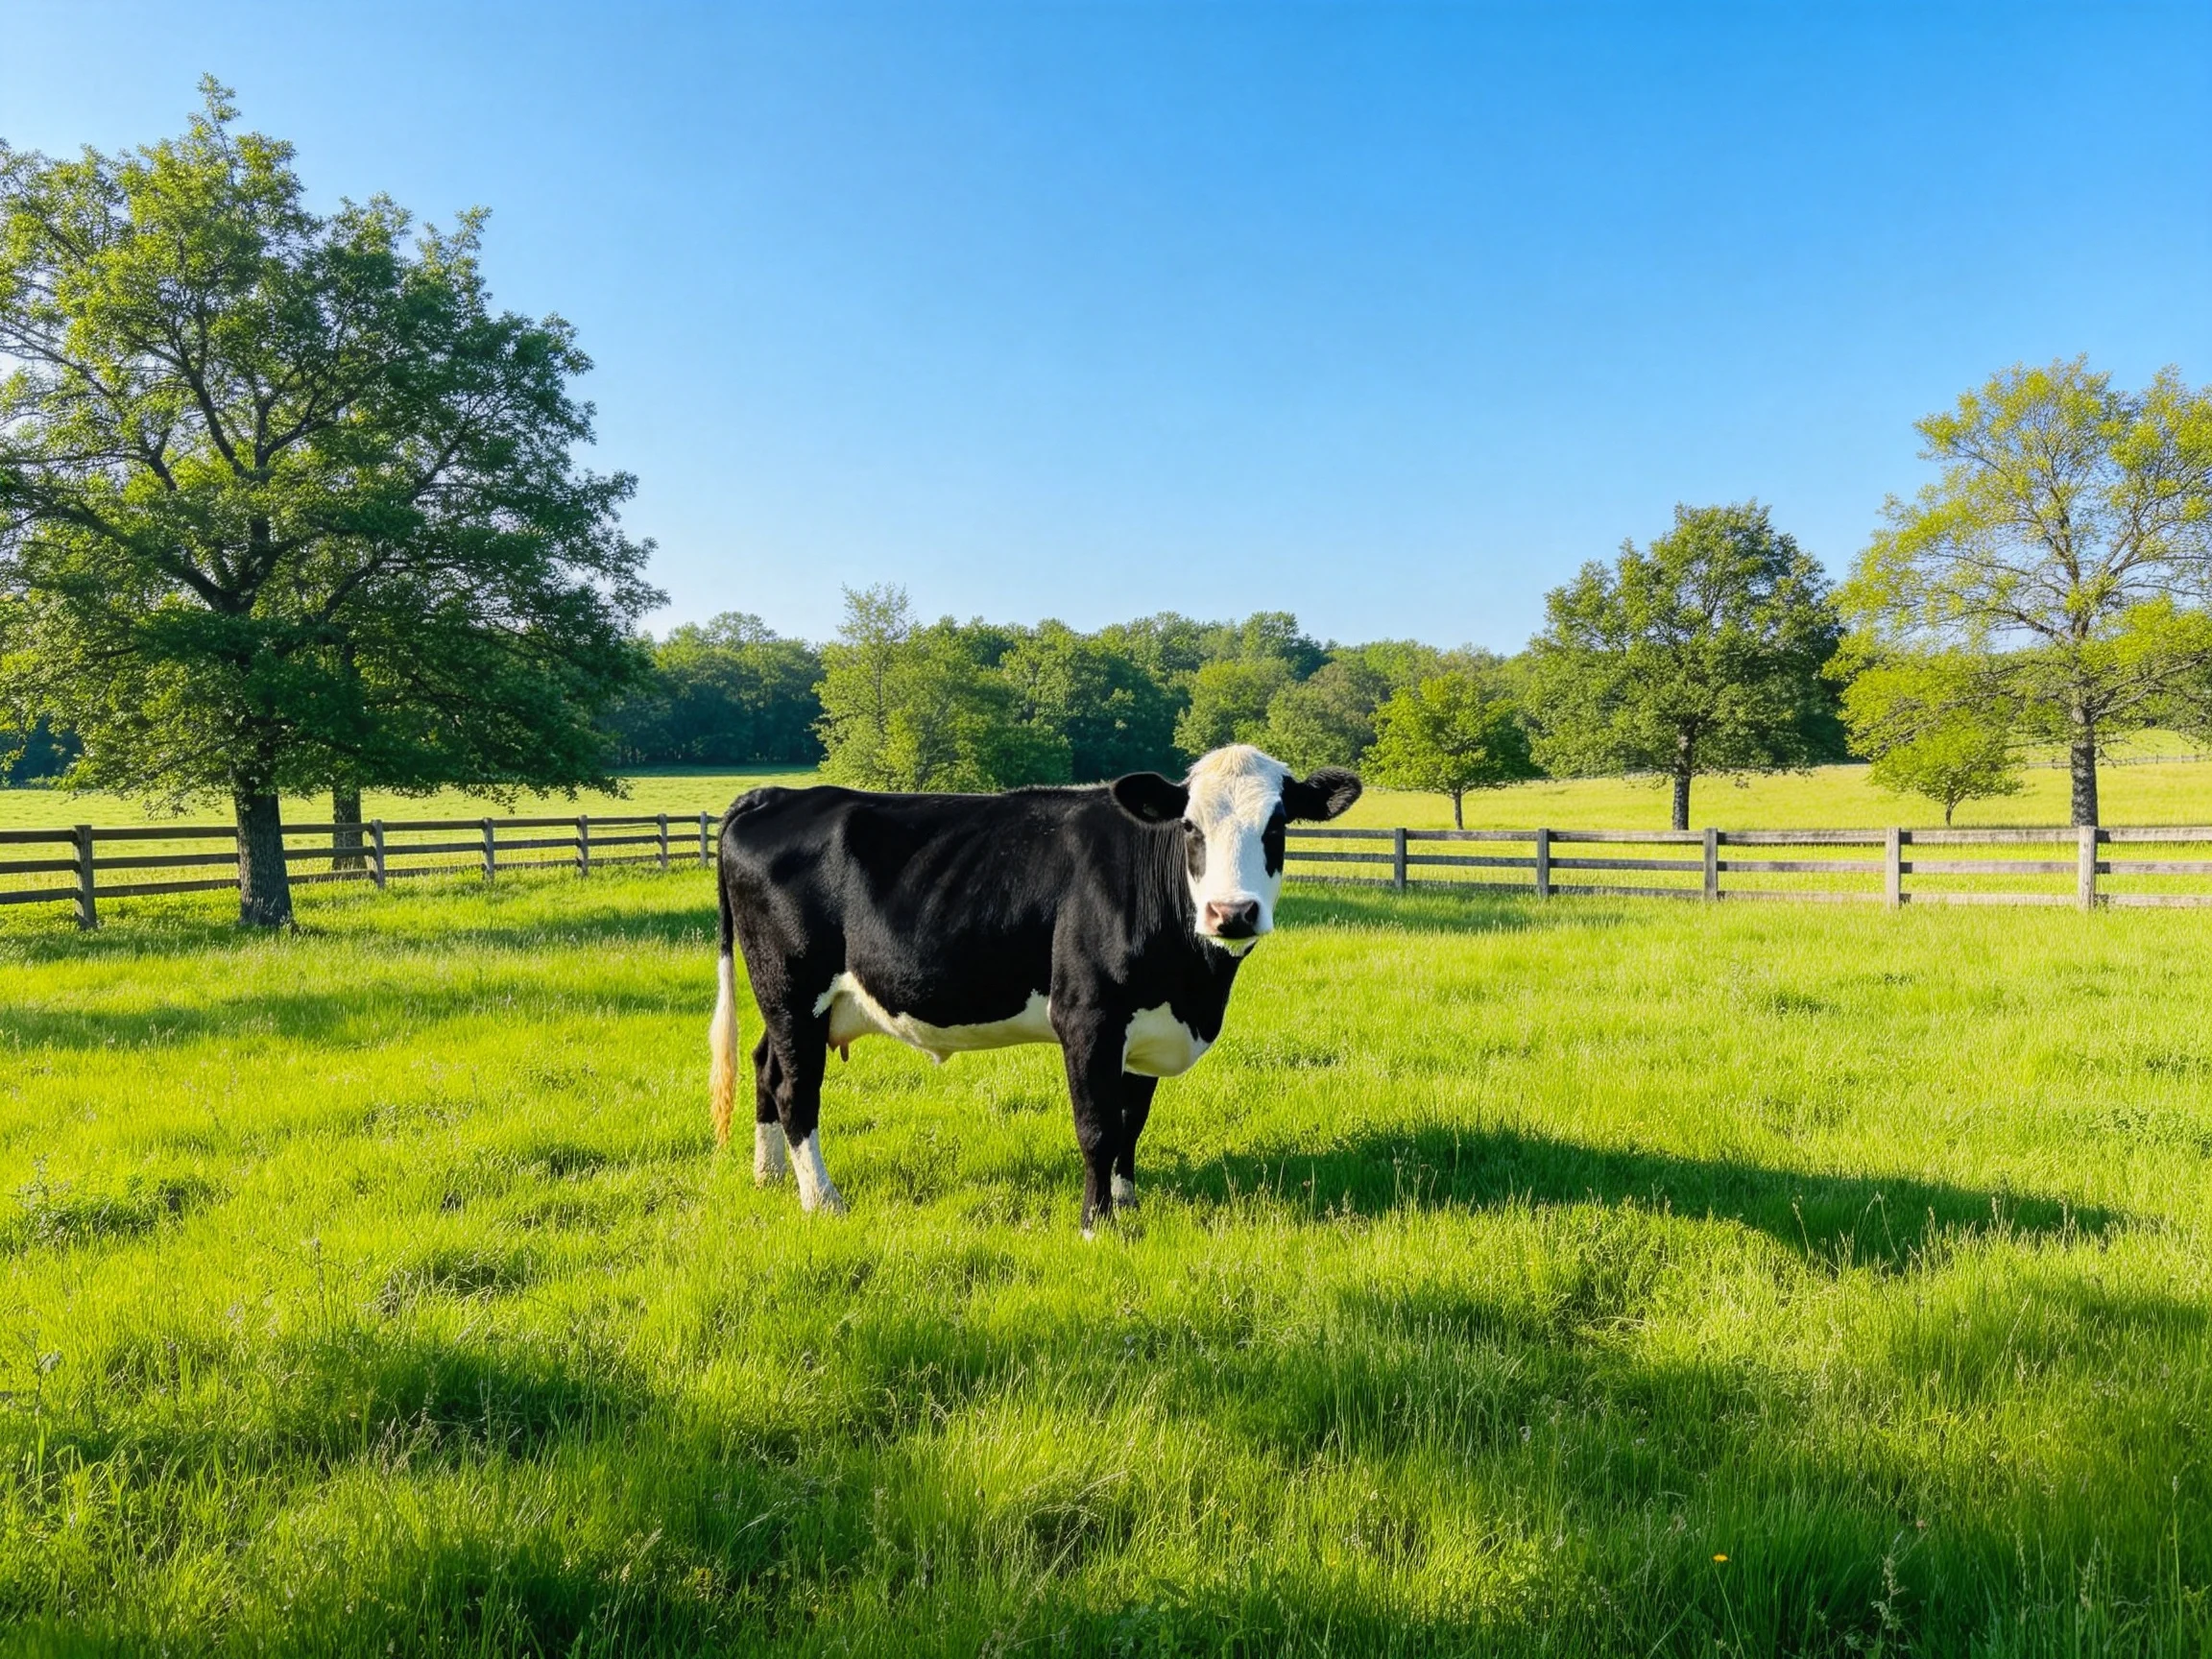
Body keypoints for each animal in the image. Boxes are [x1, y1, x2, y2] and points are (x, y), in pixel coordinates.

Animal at [707, 744, 1361, 1234]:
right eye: (1189, 827)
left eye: (1277, 826)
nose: (1232, 914)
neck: (1194, 986)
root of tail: (776, 795)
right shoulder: (1088, 1017)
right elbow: (1097, 1126)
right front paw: (1097, 1225)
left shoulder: (1146, 1024)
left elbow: (1132, 1119)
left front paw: (1127, 1203)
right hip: (791, 989)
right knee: (796, 1090)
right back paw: (822, 1200)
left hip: (796, 1005)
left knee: (766, 1068)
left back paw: (768, 1176)